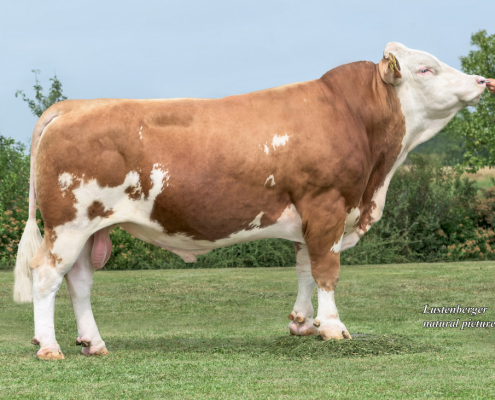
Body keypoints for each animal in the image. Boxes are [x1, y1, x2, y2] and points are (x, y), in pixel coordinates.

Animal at [13, 41, 486, 360]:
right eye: (425, 69)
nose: (483, 80)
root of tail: (72, 106)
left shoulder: (309, 216)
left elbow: (304, 269)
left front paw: (303, 323)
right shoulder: (328, 205)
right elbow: (327, 270)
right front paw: (334, 329)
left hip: (90, 227)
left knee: (79, 282)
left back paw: (93, 343)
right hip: (69, 224)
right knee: (46, 275)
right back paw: (49, 347)